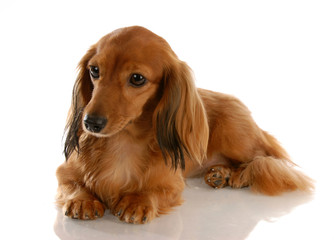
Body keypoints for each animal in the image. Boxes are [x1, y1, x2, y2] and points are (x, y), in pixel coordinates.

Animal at [55, 25, 314, 224]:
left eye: (137, 78)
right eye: (94, 70)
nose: (90, 123)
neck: (123, 142)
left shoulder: (171, 183)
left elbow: (155, 190)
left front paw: (137, 201)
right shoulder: (65, 171)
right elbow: (72, 182)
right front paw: (82, 199)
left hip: (236, 138)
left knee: (268, 161)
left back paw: (239, 176)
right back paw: (221, 173)